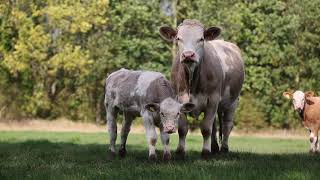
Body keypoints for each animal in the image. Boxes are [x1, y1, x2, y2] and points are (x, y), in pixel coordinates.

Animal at [160, 19, 245, 158]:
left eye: (201, 38)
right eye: (178, 38)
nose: (188, 55)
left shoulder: (213, 99)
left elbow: (205, 128)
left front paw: (205, 152)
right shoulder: (179, 98)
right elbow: (183, 127)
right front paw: (180, 151)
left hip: (233, 100)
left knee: (227, 125)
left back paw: (224, 148)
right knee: (215, 126)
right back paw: (214, 147)